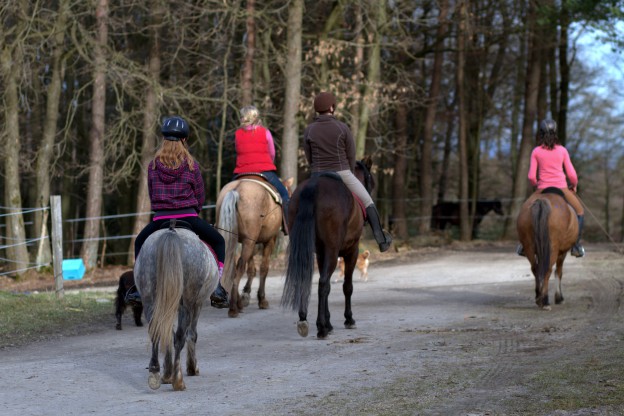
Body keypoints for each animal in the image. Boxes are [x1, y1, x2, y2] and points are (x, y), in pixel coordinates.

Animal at [133, 221, 218, 390]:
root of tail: (171, 232)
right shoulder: (197, 304)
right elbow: (192, 334)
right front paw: (191, 368)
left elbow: (167, 333)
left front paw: (167, 373)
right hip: (188, 302)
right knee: (180, 336)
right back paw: (178, 380)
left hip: (149, 299)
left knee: (156, 331)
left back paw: (155, 373)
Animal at [214, 174, 292, 316]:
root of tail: (236, 189)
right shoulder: (269, 240)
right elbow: (264, 268)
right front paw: (262, 299)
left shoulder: (250, 241)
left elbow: (251, 269)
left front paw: (245, 295)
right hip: (249, 242)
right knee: (239, 269)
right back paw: (233, 308)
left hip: (237, 240)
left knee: (233, 268)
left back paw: (236, 303)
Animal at [282, 158, 376, 340]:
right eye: (370, 180)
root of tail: (314, 186)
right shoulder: (351, 251)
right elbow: (347, 286)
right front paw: (348, 319)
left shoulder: (320, 253)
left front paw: (330, 323)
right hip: (334, 251)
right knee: (323, 283)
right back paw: (321, 329)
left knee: (309, 280)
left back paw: (304, 320)